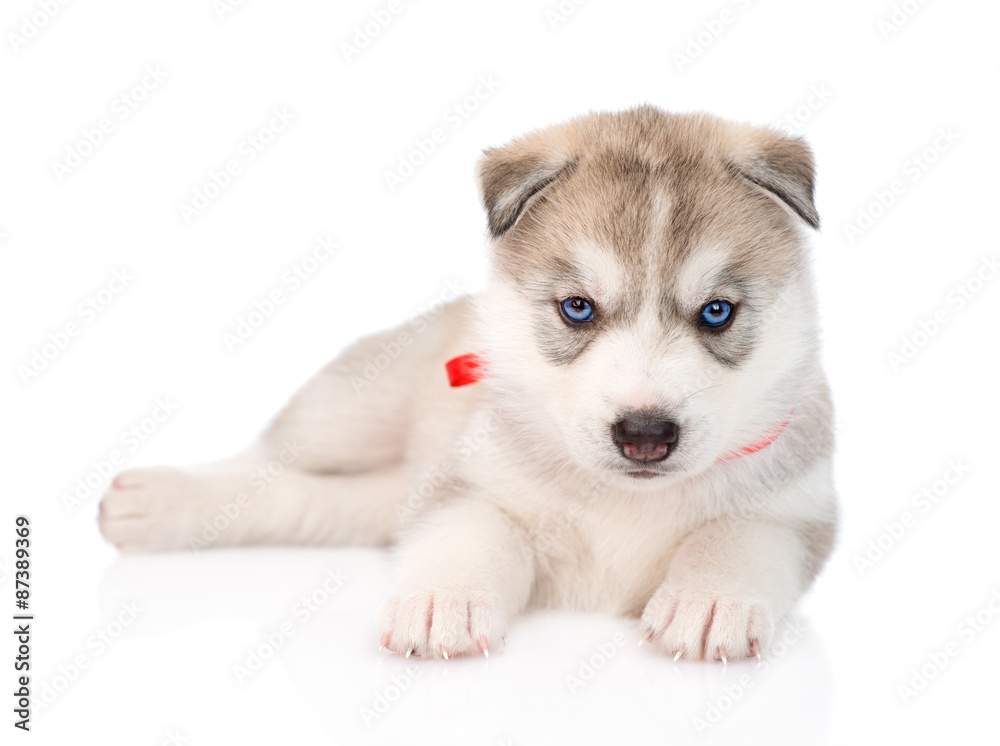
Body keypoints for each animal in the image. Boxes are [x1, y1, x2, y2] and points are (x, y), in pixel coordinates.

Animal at [101, 104, 836, 664]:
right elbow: (469, 530)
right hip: (347, 411)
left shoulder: (799, 509)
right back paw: (161, 498)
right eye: (578, 309)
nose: (645, 434)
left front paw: (711, 597)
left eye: (717, 312)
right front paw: (443, 600)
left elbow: (740, 536)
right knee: (267, 458)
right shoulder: (470, 480)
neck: (625, 499)